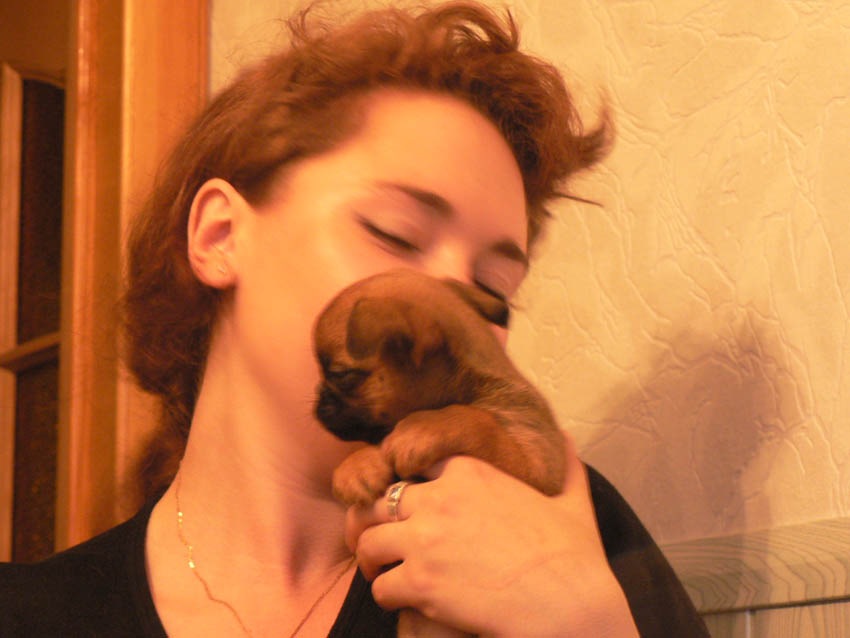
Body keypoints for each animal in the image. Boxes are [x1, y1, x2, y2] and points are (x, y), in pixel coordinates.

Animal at [312, 268, 566, 637]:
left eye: (340, 375)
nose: (317, 403)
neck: (469, 385)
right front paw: (357, 467)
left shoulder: (538, 461)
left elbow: (477, 421)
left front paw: (422, 428)